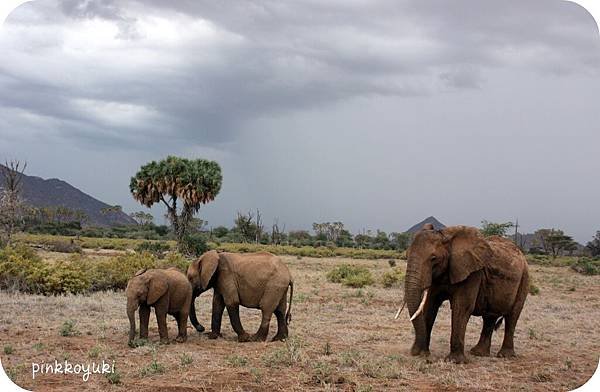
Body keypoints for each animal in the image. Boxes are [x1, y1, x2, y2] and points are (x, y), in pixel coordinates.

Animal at [398, 224, 528, 364]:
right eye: (406, 255)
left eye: (433, 259)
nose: (423, 356)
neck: (446, 237)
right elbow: (430, 306)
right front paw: (422, 353)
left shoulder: (472, 273)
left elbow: (461, 307)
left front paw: (454, 361)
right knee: (489, 317)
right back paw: (478, 353)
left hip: (525, 278)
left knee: (512, 316)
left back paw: (504, 355)